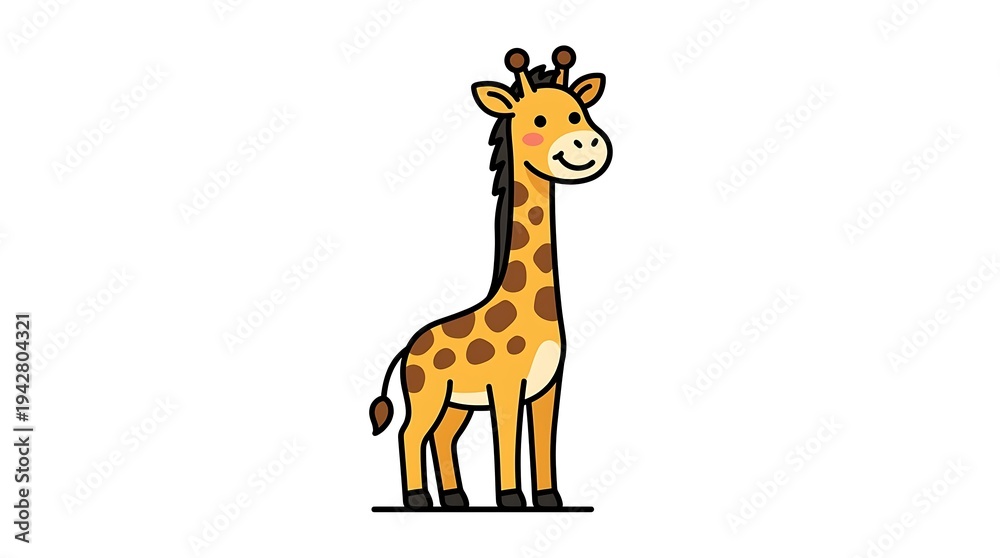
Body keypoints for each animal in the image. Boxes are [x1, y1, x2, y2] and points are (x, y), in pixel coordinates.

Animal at [369, 46, 612, 510]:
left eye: (578, 114)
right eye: (539, 121)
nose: (588, 144)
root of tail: (409, 348)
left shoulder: (548, 387)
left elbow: (543, 440)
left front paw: (549, 498)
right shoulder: (505, 386)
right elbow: (508, 438)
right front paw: (511, 498)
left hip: (456, 404)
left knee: (442, 437)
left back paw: (454, 498)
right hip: (428, 394)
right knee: (411, 432)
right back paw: (417, 499)